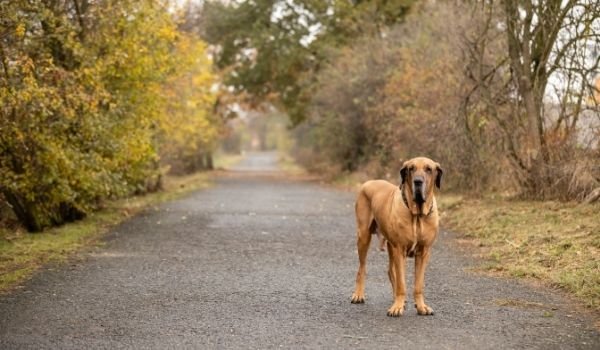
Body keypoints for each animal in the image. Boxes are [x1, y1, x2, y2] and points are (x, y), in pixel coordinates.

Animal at [350, 157, 442, 316]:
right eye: (411, 168)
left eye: (429, 169)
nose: (418, 181)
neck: (417, 215)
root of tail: (369, 182)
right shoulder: (399, 249)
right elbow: (401, 283)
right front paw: (397, 307)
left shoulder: (424, 252)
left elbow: (418, 284)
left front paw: (421, 306)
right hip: (364, 237)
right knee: (362, 268)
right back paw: (359, 295)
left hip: (389, 246)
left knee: (390, 271)